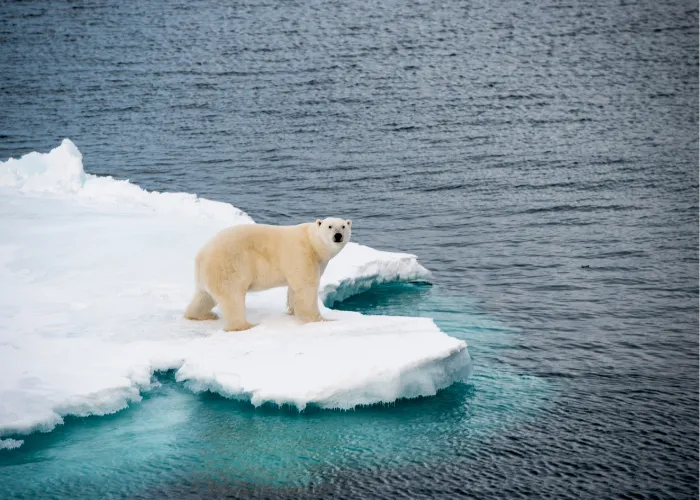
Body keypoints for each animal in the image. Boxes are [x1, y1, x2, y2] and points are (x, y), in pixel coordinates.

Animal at [185, 219, 352, 332]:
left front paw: (292, 311)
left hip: (207, 274)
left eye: (343, 226)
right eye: (330, 226)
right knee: (232, 297)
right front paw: (321, 319)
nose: (338, 235)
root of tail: (201, 255)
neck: (312, 242)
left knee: (204, 296)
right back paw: (246, 325)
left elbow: (293, 289)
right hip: (229, 265)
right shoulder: (302, 254)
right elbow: (306, 286)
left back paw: (202, 315)